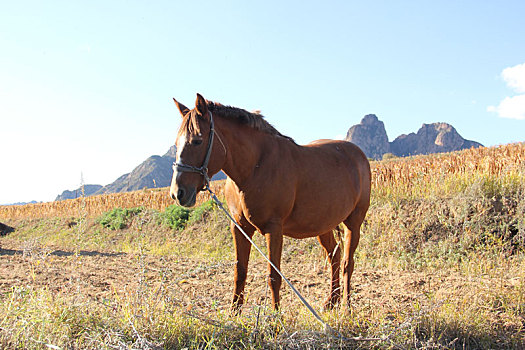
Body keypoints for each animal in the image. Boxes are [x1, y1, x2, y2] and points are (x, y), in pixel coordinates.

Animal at [170, 93, 370, 312]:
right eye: (177, 143)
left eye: (197, 141)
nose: (177, 193)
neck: (255, 167)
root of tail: (357, 155)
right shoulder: (239, 227)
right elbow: (240, 271)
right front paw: (234, 313)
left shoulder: (273, 229)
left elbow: (274, 276)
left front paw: (276, 316)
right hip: (323, 226)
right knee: (334, 257)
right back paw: (331, 301)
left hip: (353, 223)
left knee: (347, 263)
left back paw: (346, 306)